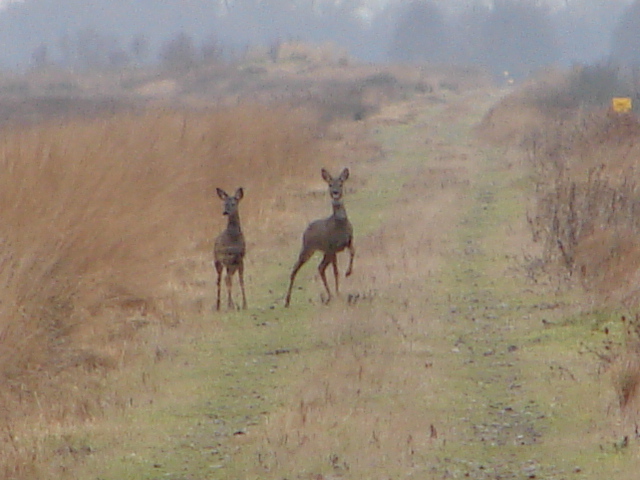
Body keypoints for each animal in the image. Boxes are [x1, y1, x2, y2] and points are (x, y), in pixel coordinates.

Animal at [214, 186, 246, 314]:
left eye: (233, 203)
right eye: (224, 203)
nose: (225, 212)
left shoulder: (240, 259)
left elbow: (241, 281)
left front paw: (245, 304)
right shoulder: (227, 258)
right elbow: (228, 281)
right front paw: (231, 305)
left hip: (231, 264)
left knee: (226, 278)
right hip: (218, 262)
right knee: (220, 280)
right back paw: (219, 306)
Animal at [284, 167, 356, 306]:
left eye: (341, 183)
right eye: (330, 184)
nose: (335, 193)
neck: (340, 224)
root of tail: (306, 230)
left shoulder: (349, 241)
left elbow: (353, 252)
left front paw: (348, 272)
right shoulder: (332, 247)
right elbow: (335, 272)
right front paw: (338, 292)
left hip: (324, 252)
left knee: (320, 267)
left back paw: (329, 296)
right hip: (308, 248)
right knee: (295, 269)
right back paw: (287, 301)